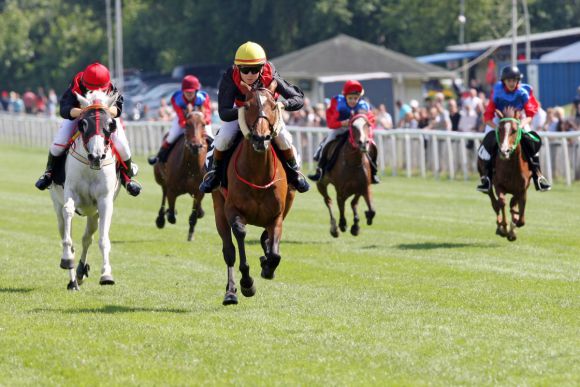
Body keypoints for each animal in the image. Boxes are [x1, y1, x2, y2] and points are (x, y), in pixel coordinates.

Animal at [49, 90, 121, 292]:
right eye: (83, 123)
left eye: (111, 125)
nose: (96, 156)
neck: (91, 168)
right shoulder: (70, 193)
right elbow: (68, 215)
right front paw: (67, 258)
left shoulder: (104, 202)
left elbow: (103, 239)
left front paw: (106, 274)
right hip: (56, 204)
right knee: (65, 230)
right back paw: (73, 280)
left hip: (93, 213)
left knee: (87, 238)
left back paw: (81, 272)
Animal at [154, 107, 208, 241]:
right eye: (187, 124)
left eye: (204, 124)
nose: (195, 146)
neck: (190, 167)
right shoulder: (172, 189)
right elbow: (172, 215)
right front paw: (169, 214)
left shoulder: (199, 192)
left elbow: (193, 216)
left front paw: (191, 233)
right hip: (160, 178)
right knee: (163, 194)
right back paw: (161, 218)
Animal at [211, 82, 294, 306]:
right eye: (247, 106)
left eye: (274, 106)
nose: (260, 138)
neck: (258, 173)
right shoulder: (232, 209)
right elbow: (239, 236)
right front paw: (247, 283)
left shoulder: (277, 214)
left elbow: (275, 253)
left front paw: (267, 267)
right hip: (218, 208)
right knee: (229, 251)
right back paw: (231, 292)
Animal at [480, 107, 532, 242]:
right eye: (499, 130)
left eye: (514, 130)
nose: (504, 151)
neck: (511, 167)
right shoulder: (498, 185)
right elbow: (502, 202)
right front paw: (504, 227)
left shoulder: (523, 189)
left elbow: (520, 218)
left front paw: (513, 227)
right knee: (495, 203)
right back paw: (500, 226)